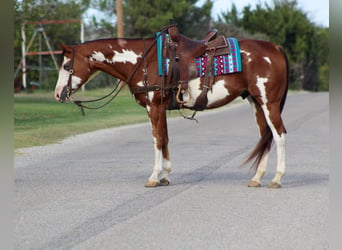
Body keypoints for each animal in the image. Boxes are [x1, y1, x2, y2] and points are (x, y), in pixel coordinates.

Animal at [54, 24, 288, 188]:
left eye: (67, 66)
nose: (58, 94)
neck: (143, 61)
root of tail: (274, 47)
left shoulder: (154, 107)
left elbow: (157, 139)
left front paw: (153, 177)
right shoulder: (161, 109)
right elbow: (165, 138)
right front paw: (165, 175)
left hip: (269, 103)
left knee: (279, 135)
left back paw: (276, 179)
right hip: (256, 103)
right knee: (265, 136)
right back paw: (257, 178)